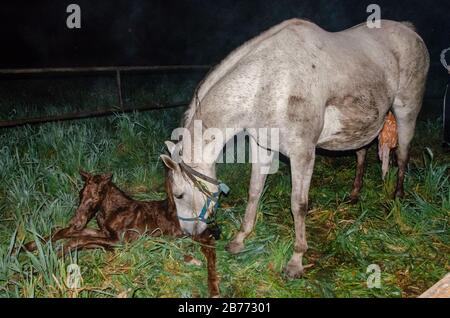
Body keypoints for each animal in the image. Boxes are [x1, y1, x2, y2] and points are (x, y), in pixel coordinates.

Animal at [24, 170, 220, 296]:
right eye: (81, 193)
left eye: (98, 194)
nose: (76, 222)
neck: (111, 211)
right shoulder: (104, 232)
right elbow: (65, 232)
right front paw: (30, 246)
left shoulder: (120, 241)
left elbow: (79, 240)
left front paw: (44, 264)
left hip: (198, 235)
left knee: (210, 249)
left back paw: (213, 287)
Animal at [161, 19, 428, 278]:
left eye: (179, 195)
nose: (188, 233)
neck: (267, 82)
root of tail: (410, 30)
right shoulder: (262, 146)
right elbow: (254, 192)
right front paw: (240, 239)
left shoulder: (303, 154)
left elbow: (298, 205)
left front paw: (296, 260)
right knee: (361, 152)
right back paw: (354, 194)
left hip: (406, 113)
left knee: (403, 155)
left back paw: (398, 198)